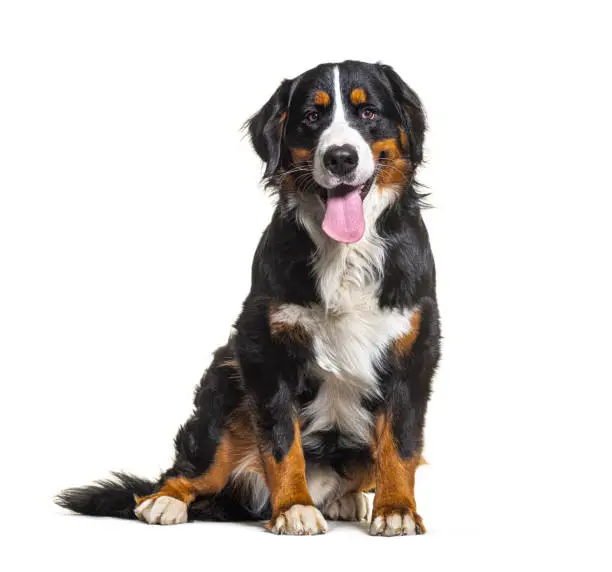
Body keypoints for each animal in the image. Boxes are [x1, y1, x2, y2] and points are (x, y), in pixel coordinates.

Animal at [57, 59, 440, 536]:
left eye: (368, 112)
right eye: (311, 117)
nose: (340, 157)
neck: (344, 252)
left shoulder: (413, 352)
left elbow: (400, 443)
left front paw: (396, 509)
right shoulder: (264, 348)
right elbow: (281, 442)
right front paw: (294, 506)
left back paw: (347, 500)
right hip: (225, 389)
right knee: (187, 471)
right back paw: (165, 502)